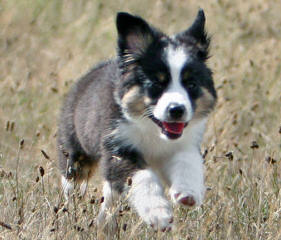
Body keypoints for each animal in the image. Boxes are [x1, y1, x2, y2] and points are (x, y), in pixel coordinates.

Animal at [56, 9, 214, 232]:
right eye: (156, 83)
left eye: (191, 84)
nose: (177, 110)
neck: (152, 129)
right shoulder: (118, 149)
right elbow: (143, 179)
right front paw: (160, 216)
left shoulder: (184, 143)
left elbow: (187, 163)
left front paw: (187, 193)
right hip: (74, 153)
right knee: (72, 184)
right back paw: (72, 213)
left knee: (110, 196)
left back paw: (104, 223)